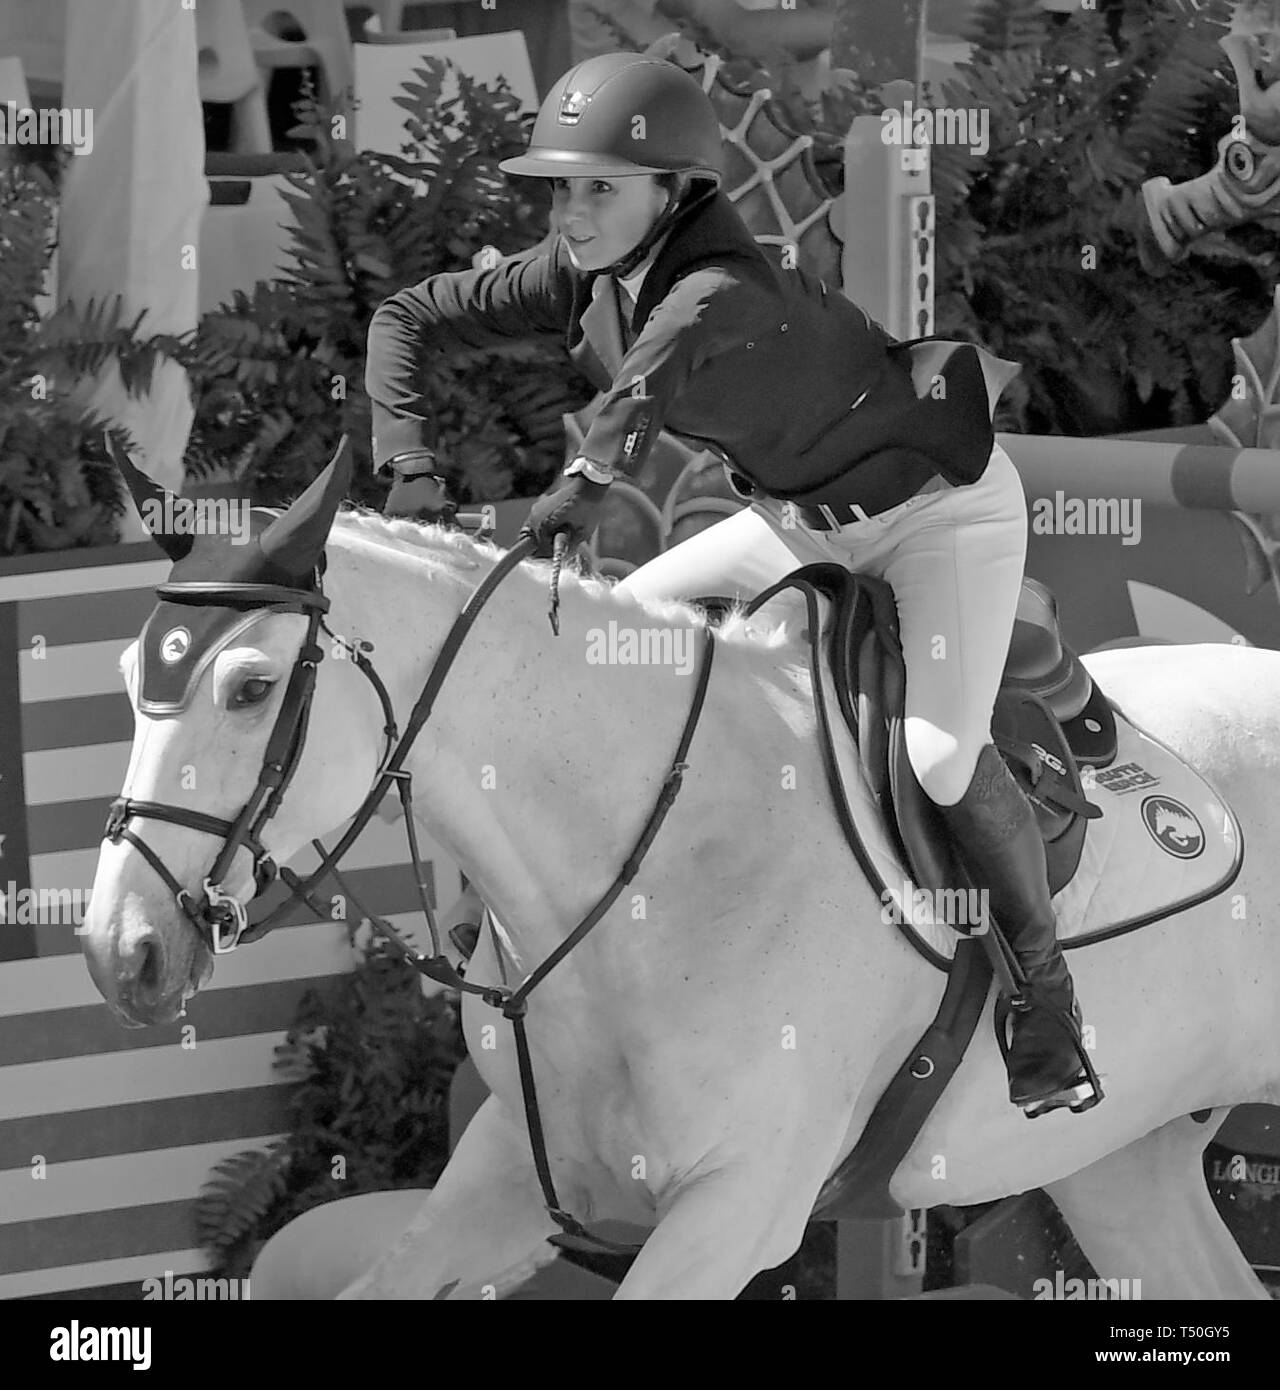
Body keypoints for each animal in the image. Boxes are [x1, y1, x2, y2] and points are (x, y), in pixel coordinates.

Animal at [82, 492, 1278, 1301]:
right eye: (129, 685)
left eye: (249, 687)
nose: (120, 953)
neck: (649, 878)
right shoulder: (513, 1170)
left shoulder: (738, 1204)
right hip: (1124, 1159)